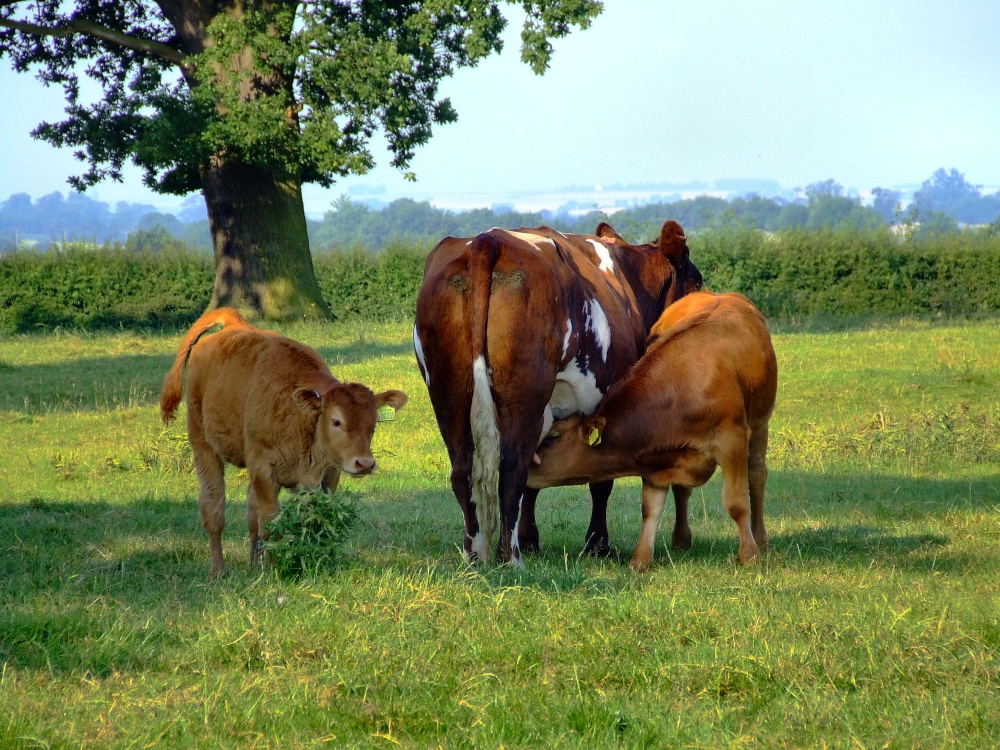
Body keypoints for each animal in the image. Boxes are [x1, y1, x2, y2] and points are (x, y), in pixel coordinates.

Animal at [160, 308, 408, 577]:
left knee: (251, 515)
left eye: (373, 424)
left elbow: (311, 521)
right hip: (203, 446)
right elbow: (271, 523)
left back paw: (252, 566)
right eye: (336, 421)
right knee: (214, 510)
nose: (365, 464)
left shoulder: (326, 476)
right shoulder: (264, 471)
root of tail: (232, 325)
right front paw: (274, 570)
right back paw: (218, 570)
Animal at [413, 220, 703, 565]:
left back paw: (475, 555)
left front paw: (530, 540)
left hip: (449, 396)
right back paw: (510, 559)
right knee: (512, 467)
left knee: (464, 471)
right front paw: (597, 545)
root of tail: (488, 240)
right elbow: (599, 479)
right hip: (524, 396)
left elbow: (536, 478)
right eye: (698, 281)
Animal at [527, 292, 777, 570]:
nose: (525, 468)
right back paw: (681, 539)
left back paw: (762, 541)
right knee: (682, 491)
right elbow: (650, 507)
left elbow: (736, 501)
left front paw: (750, 556)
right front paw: (640, 560)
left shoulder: (731, 440)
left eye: (553, 437)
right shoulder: (657, 457)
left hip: (760, 424)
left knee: (757, 476)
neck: (681, 387)